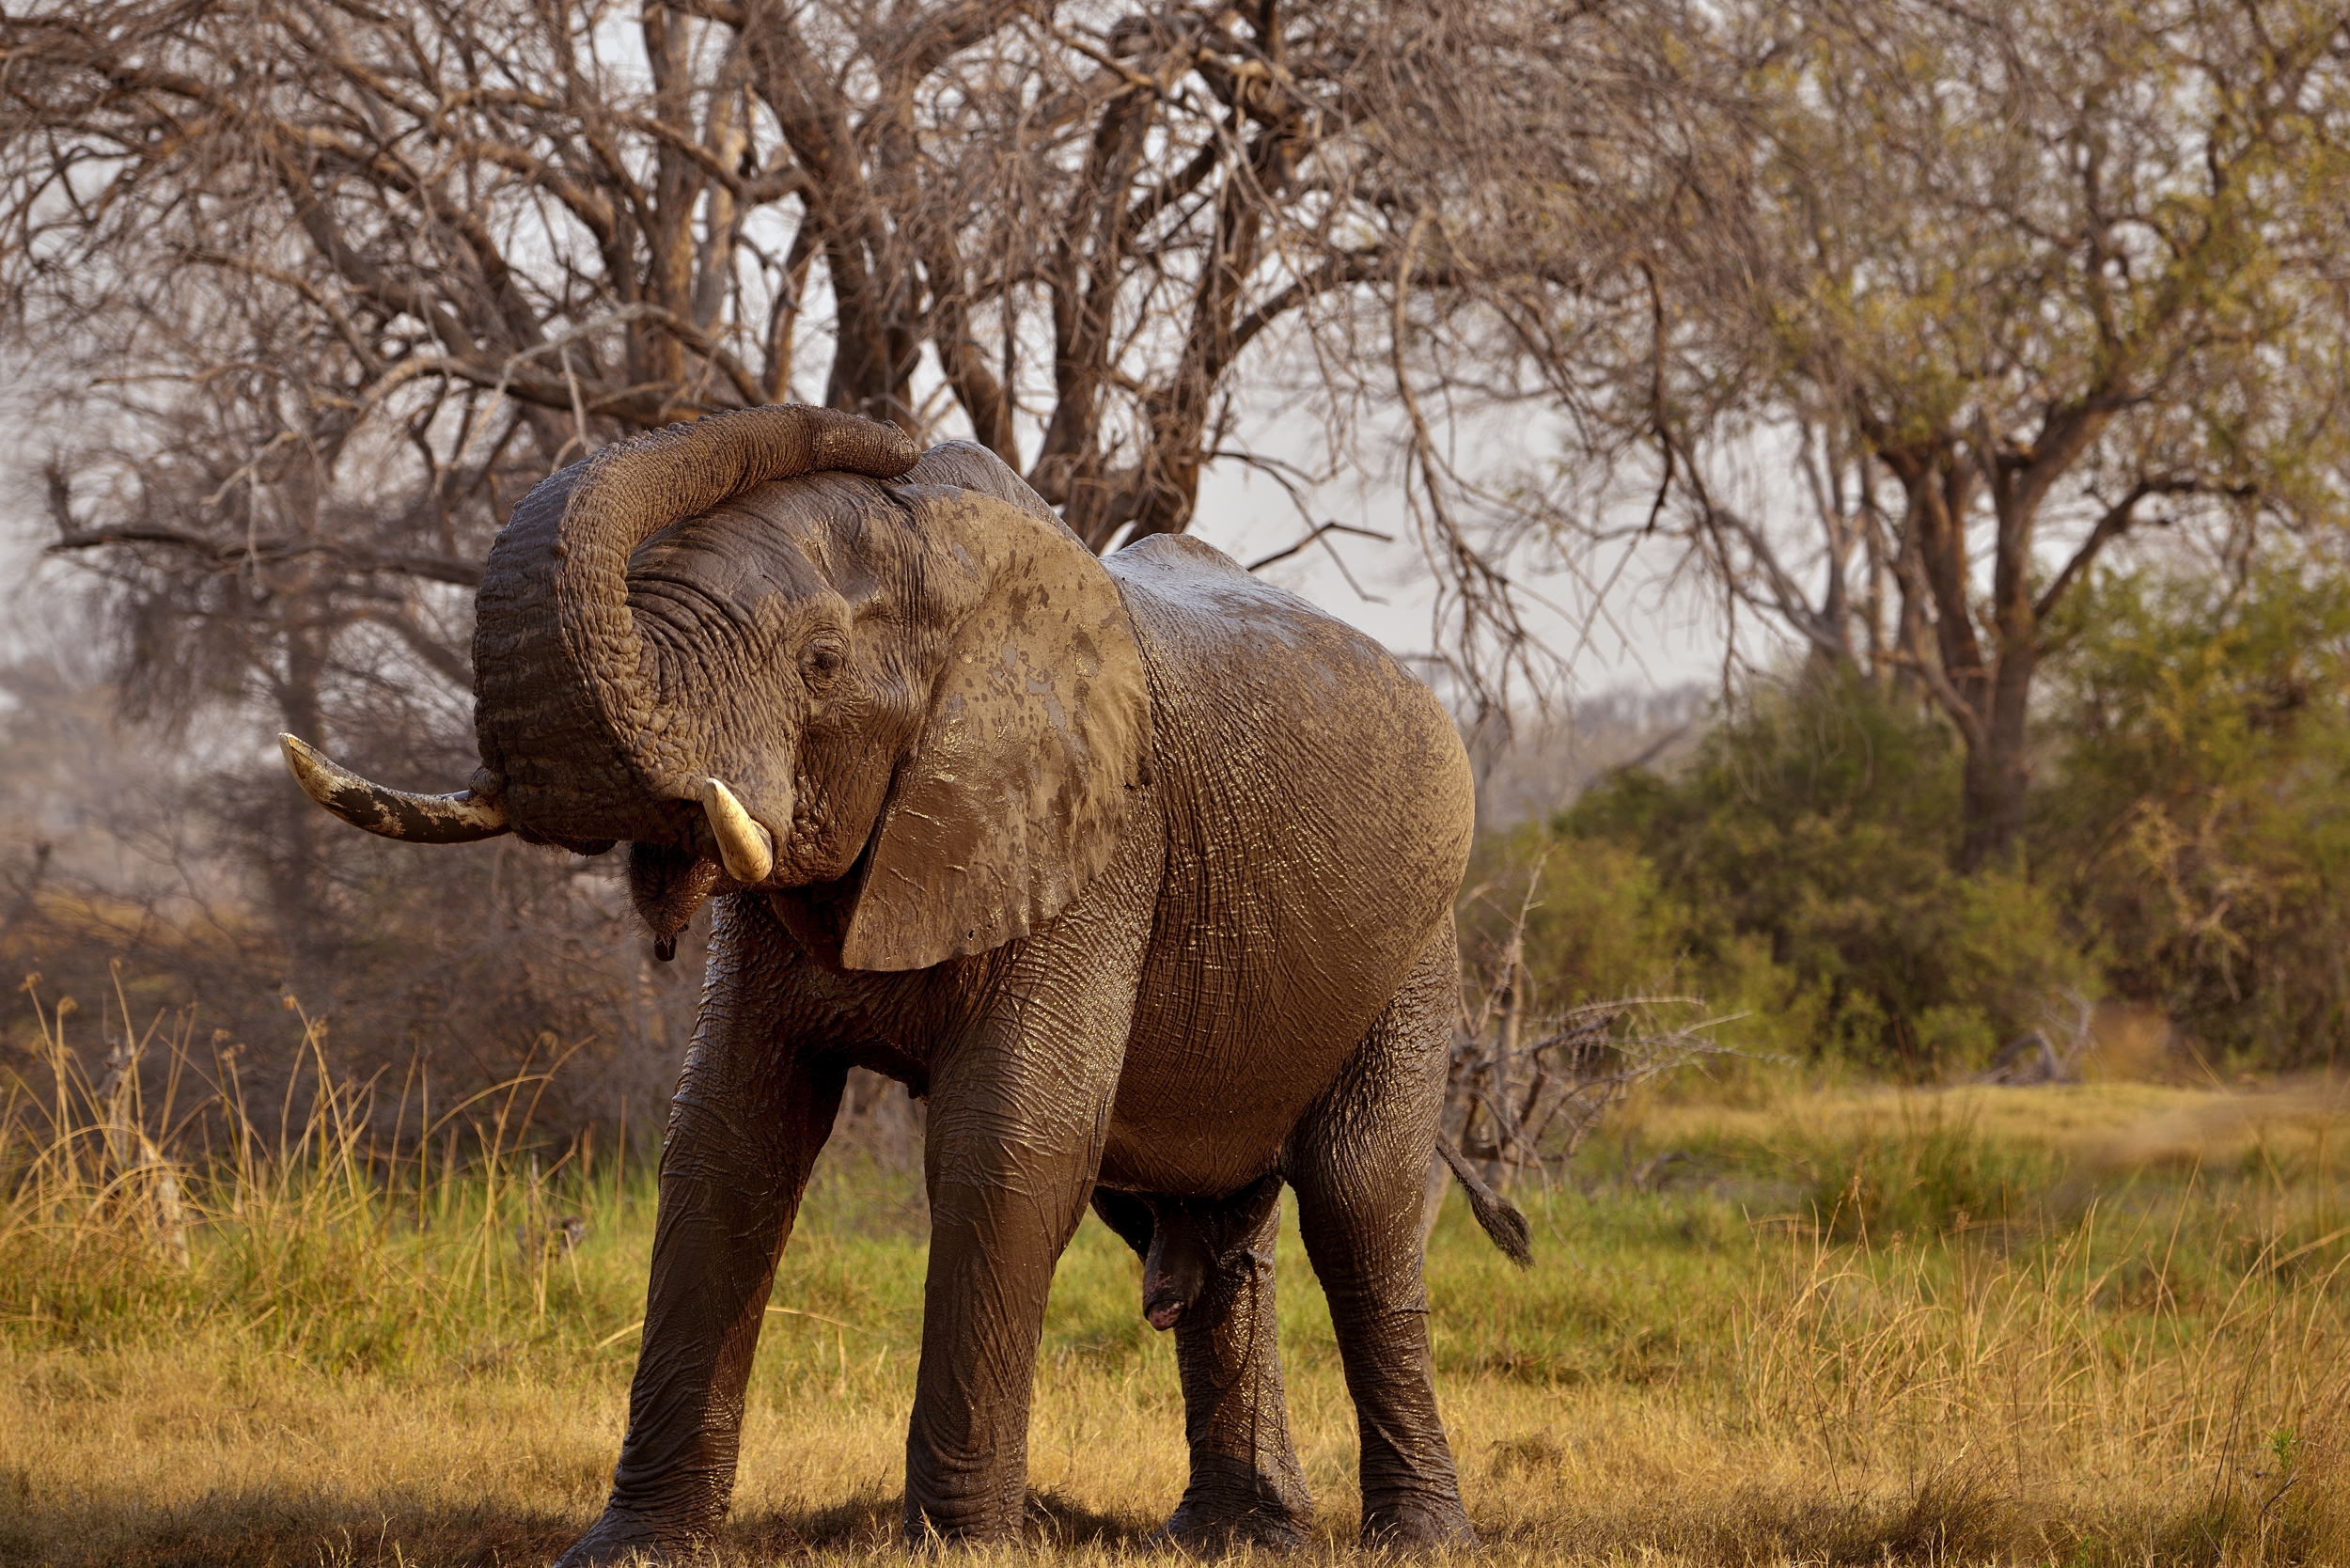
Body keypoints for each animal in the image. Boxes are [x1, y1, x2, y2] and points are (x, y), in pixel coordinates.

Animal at [279, 404, 1523, 1560]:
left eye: (820, 663)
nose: (885, 431)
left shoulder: (1097, 844)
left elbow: (1008, 1148)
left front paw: (960, 1549)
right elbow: (727, 1141)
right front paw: (629, 1551)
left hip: (1417, 950)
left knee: (1357, 1202)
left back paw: (1415, 1541)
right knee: (1201, 1227)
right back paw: (1231, 1539)